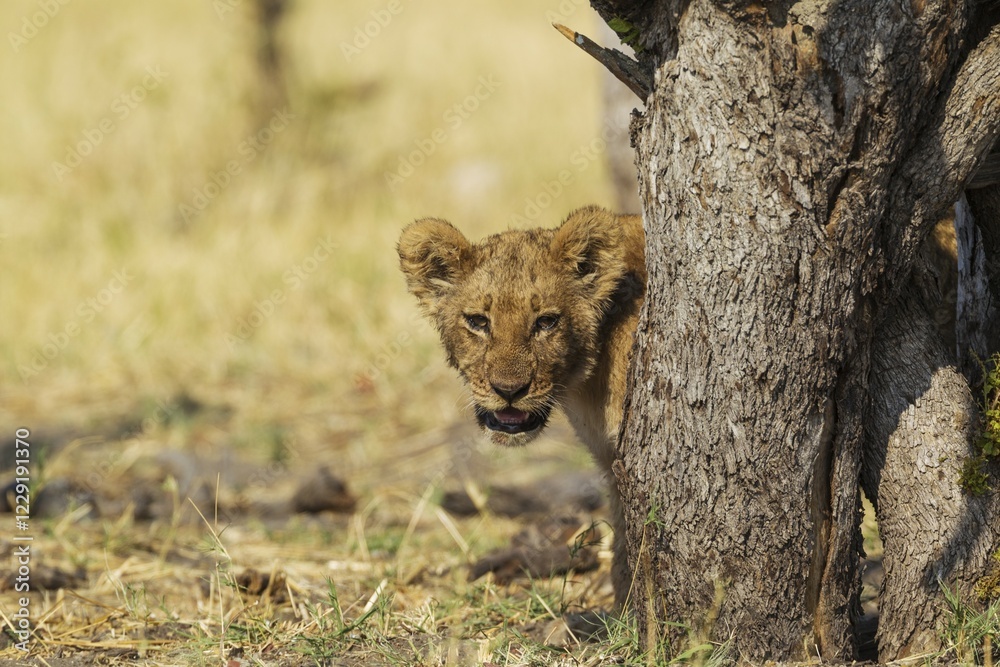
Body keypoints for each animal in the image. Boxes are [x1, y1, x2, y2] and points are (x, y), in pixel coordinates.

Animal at [397, 205, 645, 613]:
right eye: (478, 322)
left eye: (546, 321)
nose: (509, 391)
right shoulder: (611, 457)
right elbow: (625, 539)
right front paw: (625, 613)